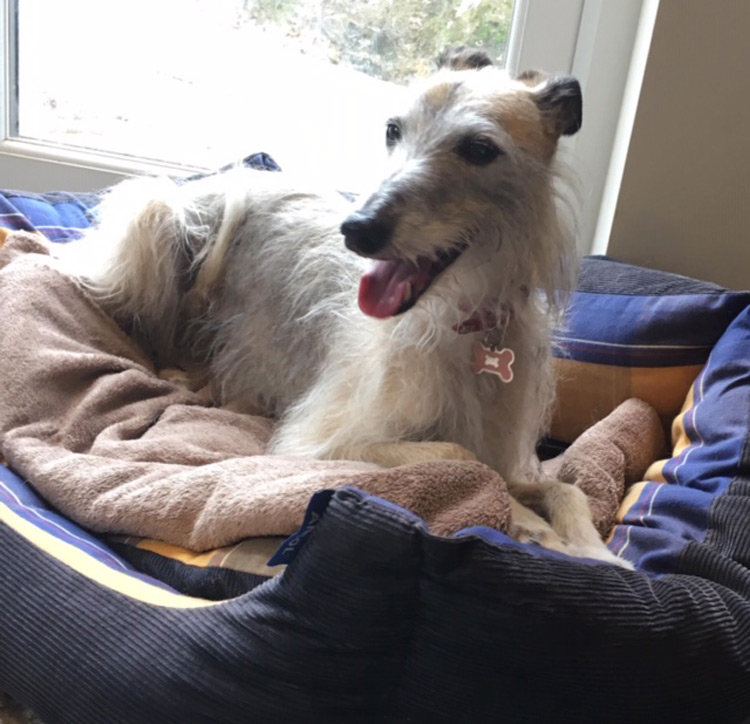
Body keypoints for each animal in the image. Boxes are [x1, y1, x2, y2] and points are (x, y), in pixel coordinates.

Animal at [63, 47, 626, 566]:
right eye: (393, 130)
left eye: (479, 148)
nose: (356, 229)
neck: (463, 319)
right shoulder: (322, 443)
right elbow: (462, 457)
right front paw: (534, 526)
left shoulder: (513, 457)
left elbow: (562, 486)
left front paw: (592, 547)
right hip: (157, 218)